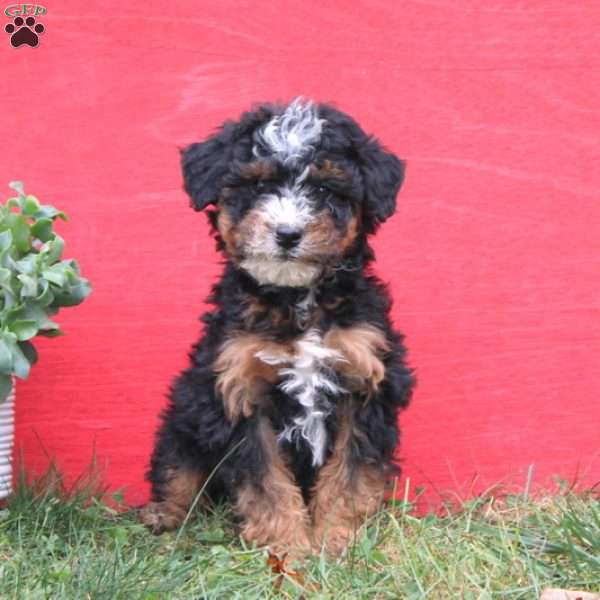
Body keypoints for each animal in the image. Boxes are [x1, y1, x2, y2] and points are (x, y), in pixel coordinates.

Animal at [141, 97, 414, 552]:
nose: (287, 233)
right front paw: (289, 547)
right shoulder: (239, 389)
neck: (295, 302)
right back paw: (164, 514)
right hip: (185, 411)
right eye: (257, 187)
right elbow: (266, 482)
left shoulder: (364, 380)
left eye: (323, 189)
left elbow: (350, 474)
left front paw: (335, 540)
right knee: (178, 469)